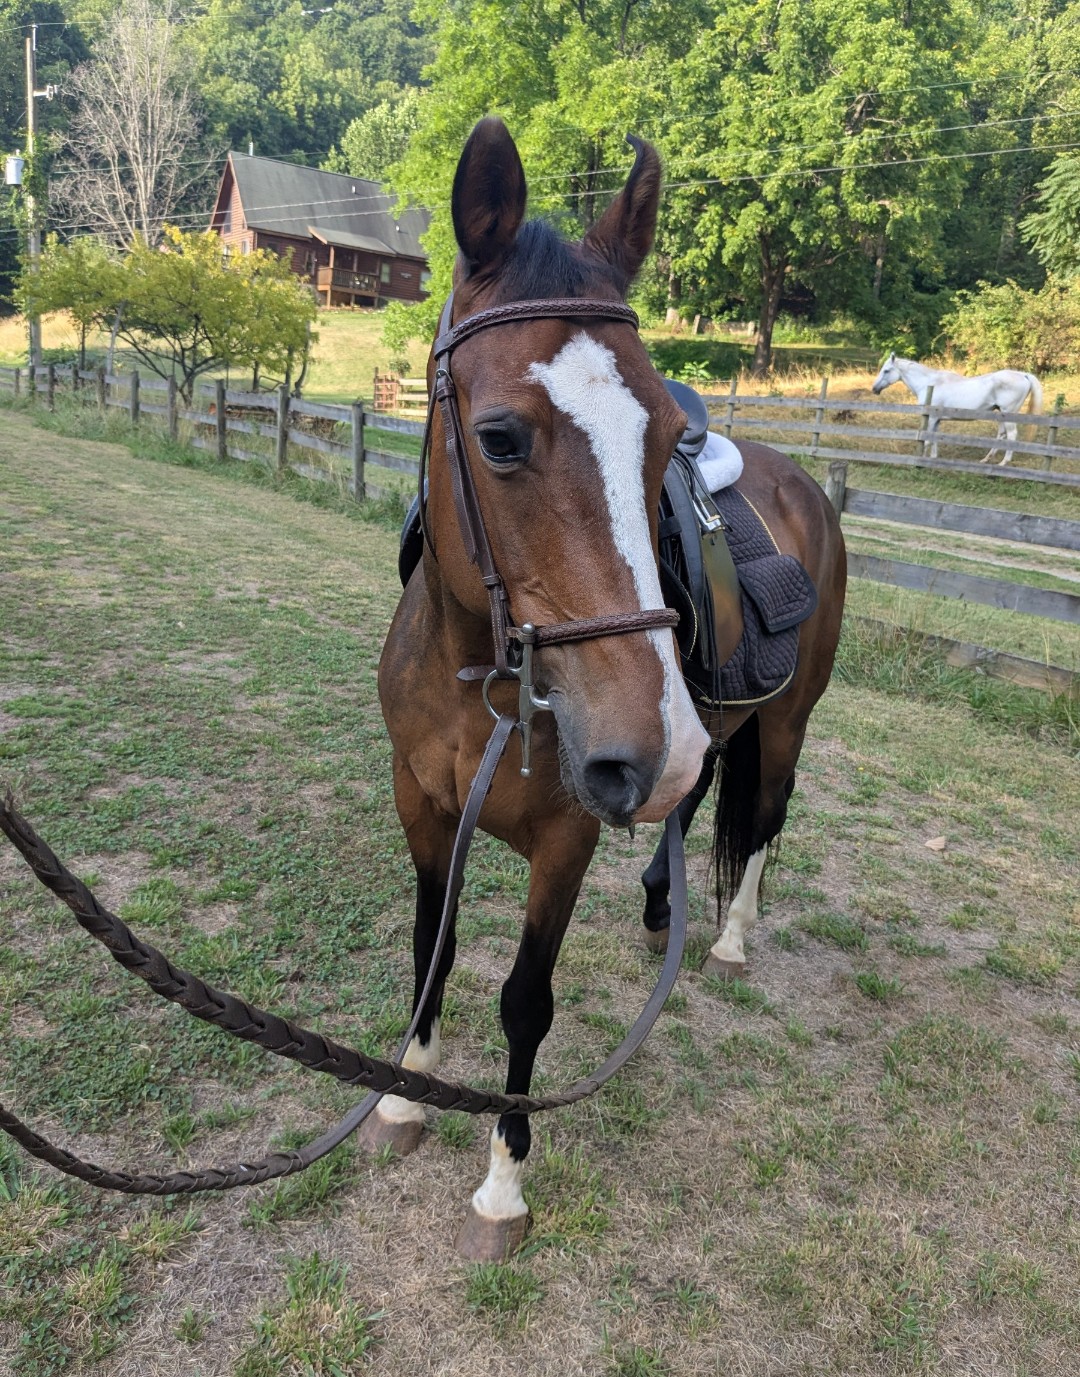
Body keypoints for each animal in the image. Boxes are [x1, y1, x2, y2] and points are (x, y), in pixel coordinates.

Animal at [371, 116, 846, 1263]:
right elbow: (430, 951)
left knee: (762, 820)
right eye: (499, 438)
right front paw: (403, 1096)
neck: (482, 678)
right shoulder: (423, 806)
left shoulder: (565, 840)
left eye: (665, 438)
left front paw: (503, 1182)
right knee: (703, 798)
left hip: (779, 724)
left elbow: (525, 1001)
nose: (640, 743)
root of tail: (811, 487)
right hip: (707, 732)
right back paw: (662, 903)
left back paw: (727, 937)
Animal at [871, 352, 1043, 465]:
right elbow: (934, 438)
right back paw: (986, 459)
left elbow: (927, 439)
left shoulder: (931, 418)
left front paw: (922, 458)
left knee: (1012, 435)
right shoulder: (937, 419)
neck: (929, 383)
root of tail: (1023, 375)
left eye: (886, 370)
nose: (874, 389)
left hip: (1008, 414)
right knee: (1002, 434)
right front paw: (933, 458)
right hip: (1002, 414)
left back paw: (1004, 462)